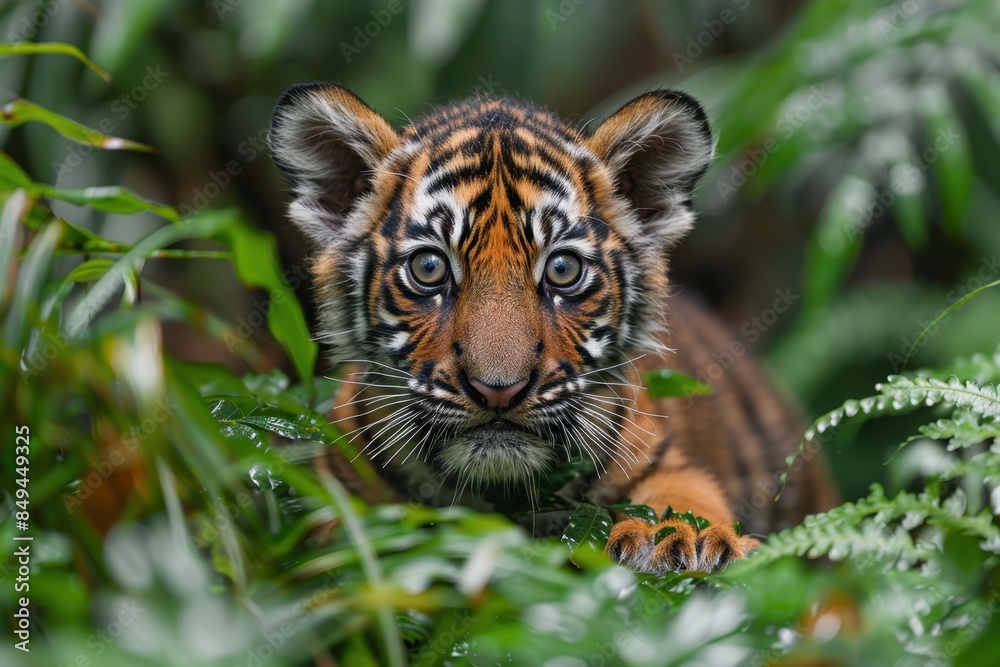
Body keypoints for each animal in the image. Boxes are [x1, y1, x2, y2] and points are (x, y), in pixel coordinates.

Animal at [267, 83, 836, 573]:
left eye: (562, 269)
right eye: (429, 268)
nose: (498, 390)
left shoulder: (664, 461)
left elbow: (684, 499)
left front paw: (682, 539)